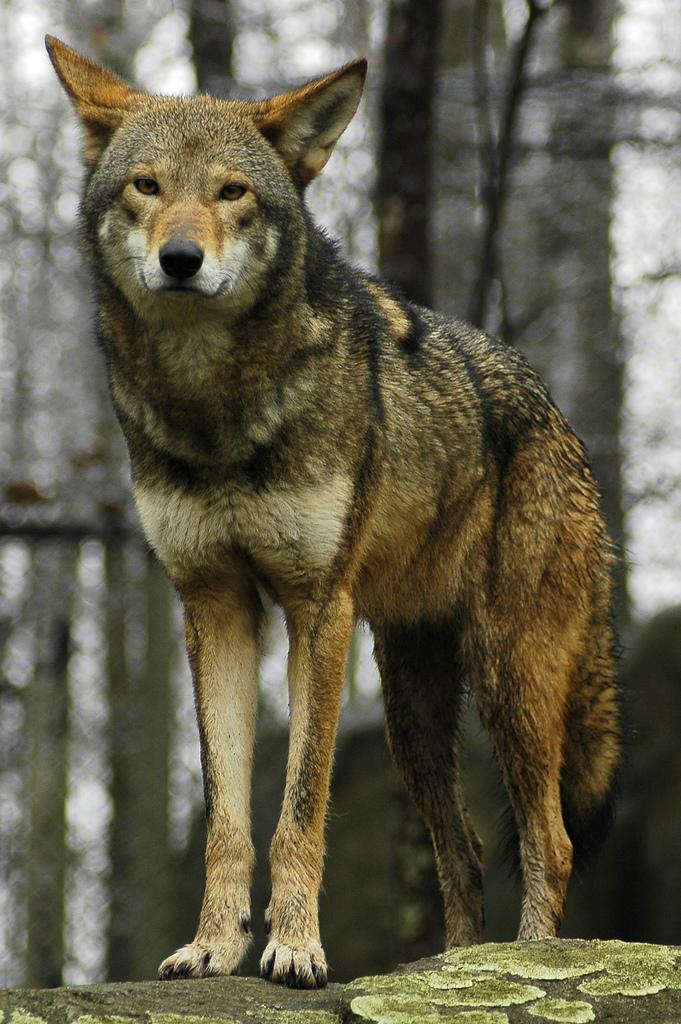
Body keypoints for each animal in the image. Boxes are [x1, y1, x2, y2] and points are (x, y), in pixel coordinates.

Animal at [46, 36, 621, 989]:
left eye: (231, 193)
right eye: (147, 186)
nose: (179, 260)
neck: (215, 409)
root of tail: (562, 421)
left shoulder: (317, 609)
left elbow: (300, 805)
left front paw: (294, 949)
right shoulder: (214, 606)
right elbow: (227, 815)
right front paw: (212, 948)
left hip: (509, 673)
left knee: (553, 840)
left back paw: (526, 964)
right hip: (408, 712)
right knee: (464, 850)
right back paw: (450, 973)